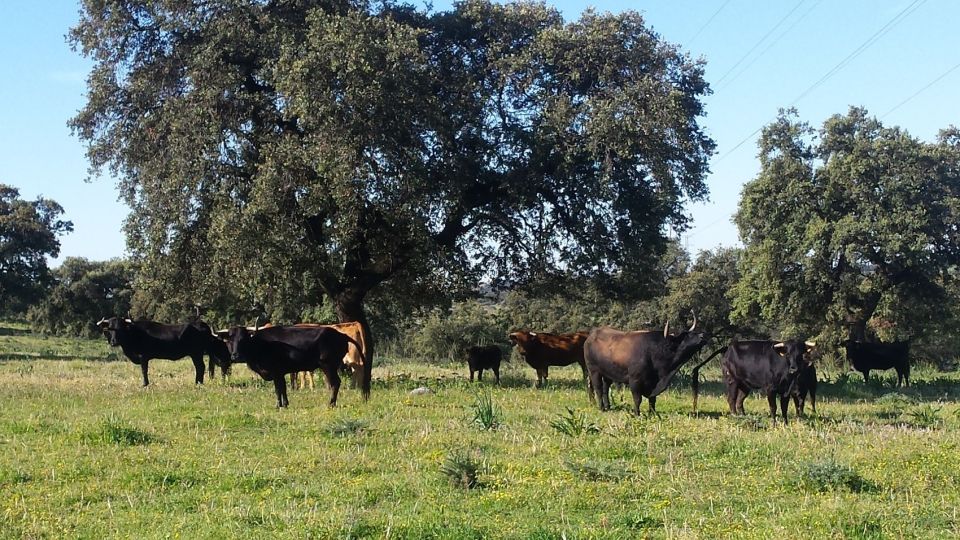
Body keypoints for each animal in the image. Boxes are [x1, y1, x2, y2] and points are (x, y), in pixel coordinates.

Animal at [96, 316, 232, 388]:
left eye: (120, 329)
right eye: (110, 329)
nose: (113, 342)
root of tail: (200, 324)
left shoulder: (143, 357)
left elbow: (144, 370)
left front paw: (145, 384)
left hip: (196, 353)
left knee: (200, 367)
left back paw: (198, 383)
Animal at [221, 322, 368, 408]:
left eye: (243, 340)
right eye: (230, 340)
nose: (235, 356)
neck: (261, 343)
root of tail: (341, 335)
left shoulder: (276, 372)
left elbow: (278, 389)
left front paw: (279, 405)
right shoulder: (280, 373)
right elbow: (282, 388)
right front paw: (284, 404)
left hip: (328, 366)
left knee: (335, 383)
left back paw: (331, 404)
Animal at [580, 318, 708, 416]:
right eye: (687, 335)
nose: (703, 335)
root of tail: (591, 335)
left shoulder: (653, 383)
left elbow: (653, 399)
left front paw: (653, 413)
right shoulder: (634, 381)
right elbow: (638, 399)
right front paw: (637, 413)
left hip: (608, 373)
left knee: (606, 388)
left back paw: (608, 406)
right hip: (593, 370)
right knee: (598, 388)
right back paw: (602, 408)